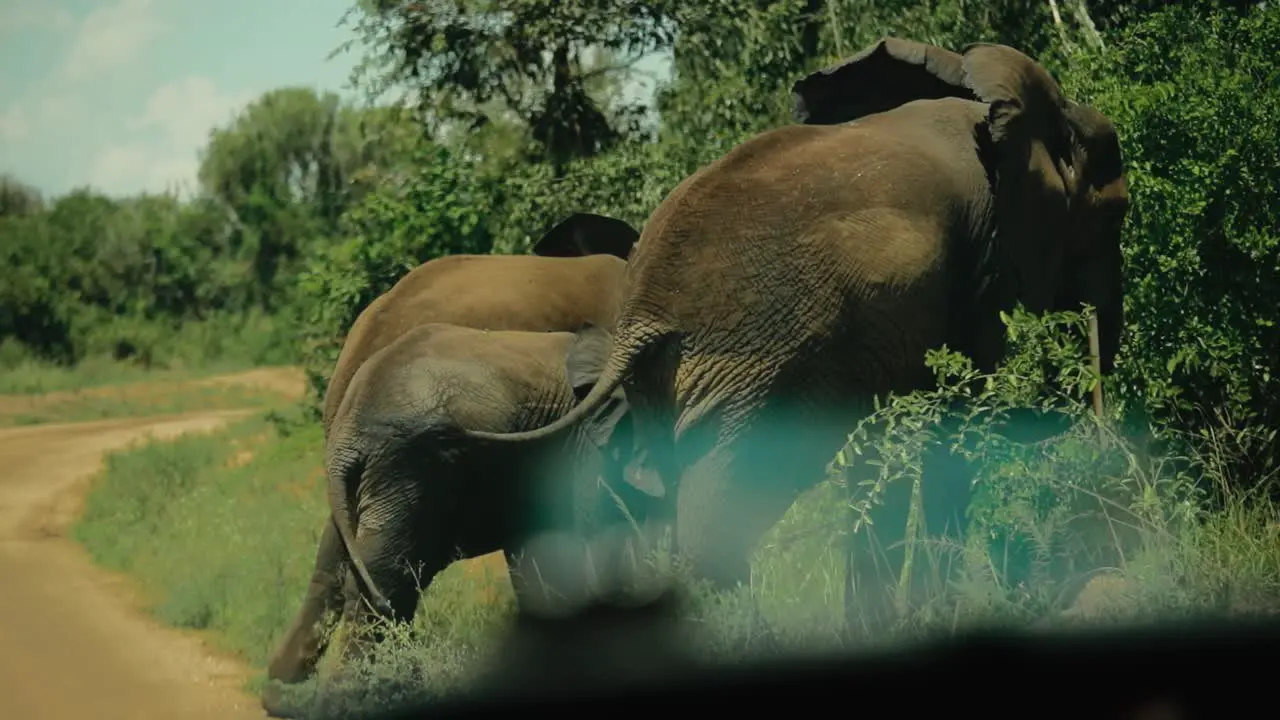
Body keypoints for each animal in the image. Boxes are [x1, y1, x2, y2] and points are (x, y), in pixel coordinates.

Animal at [463, 37, 1131, 627]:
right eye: (1115, 216)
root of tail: (642, 314)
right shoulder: (988, 260)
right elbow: (954, 418)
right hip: (761, 369)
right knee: (725, 508)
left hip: (685, 381)